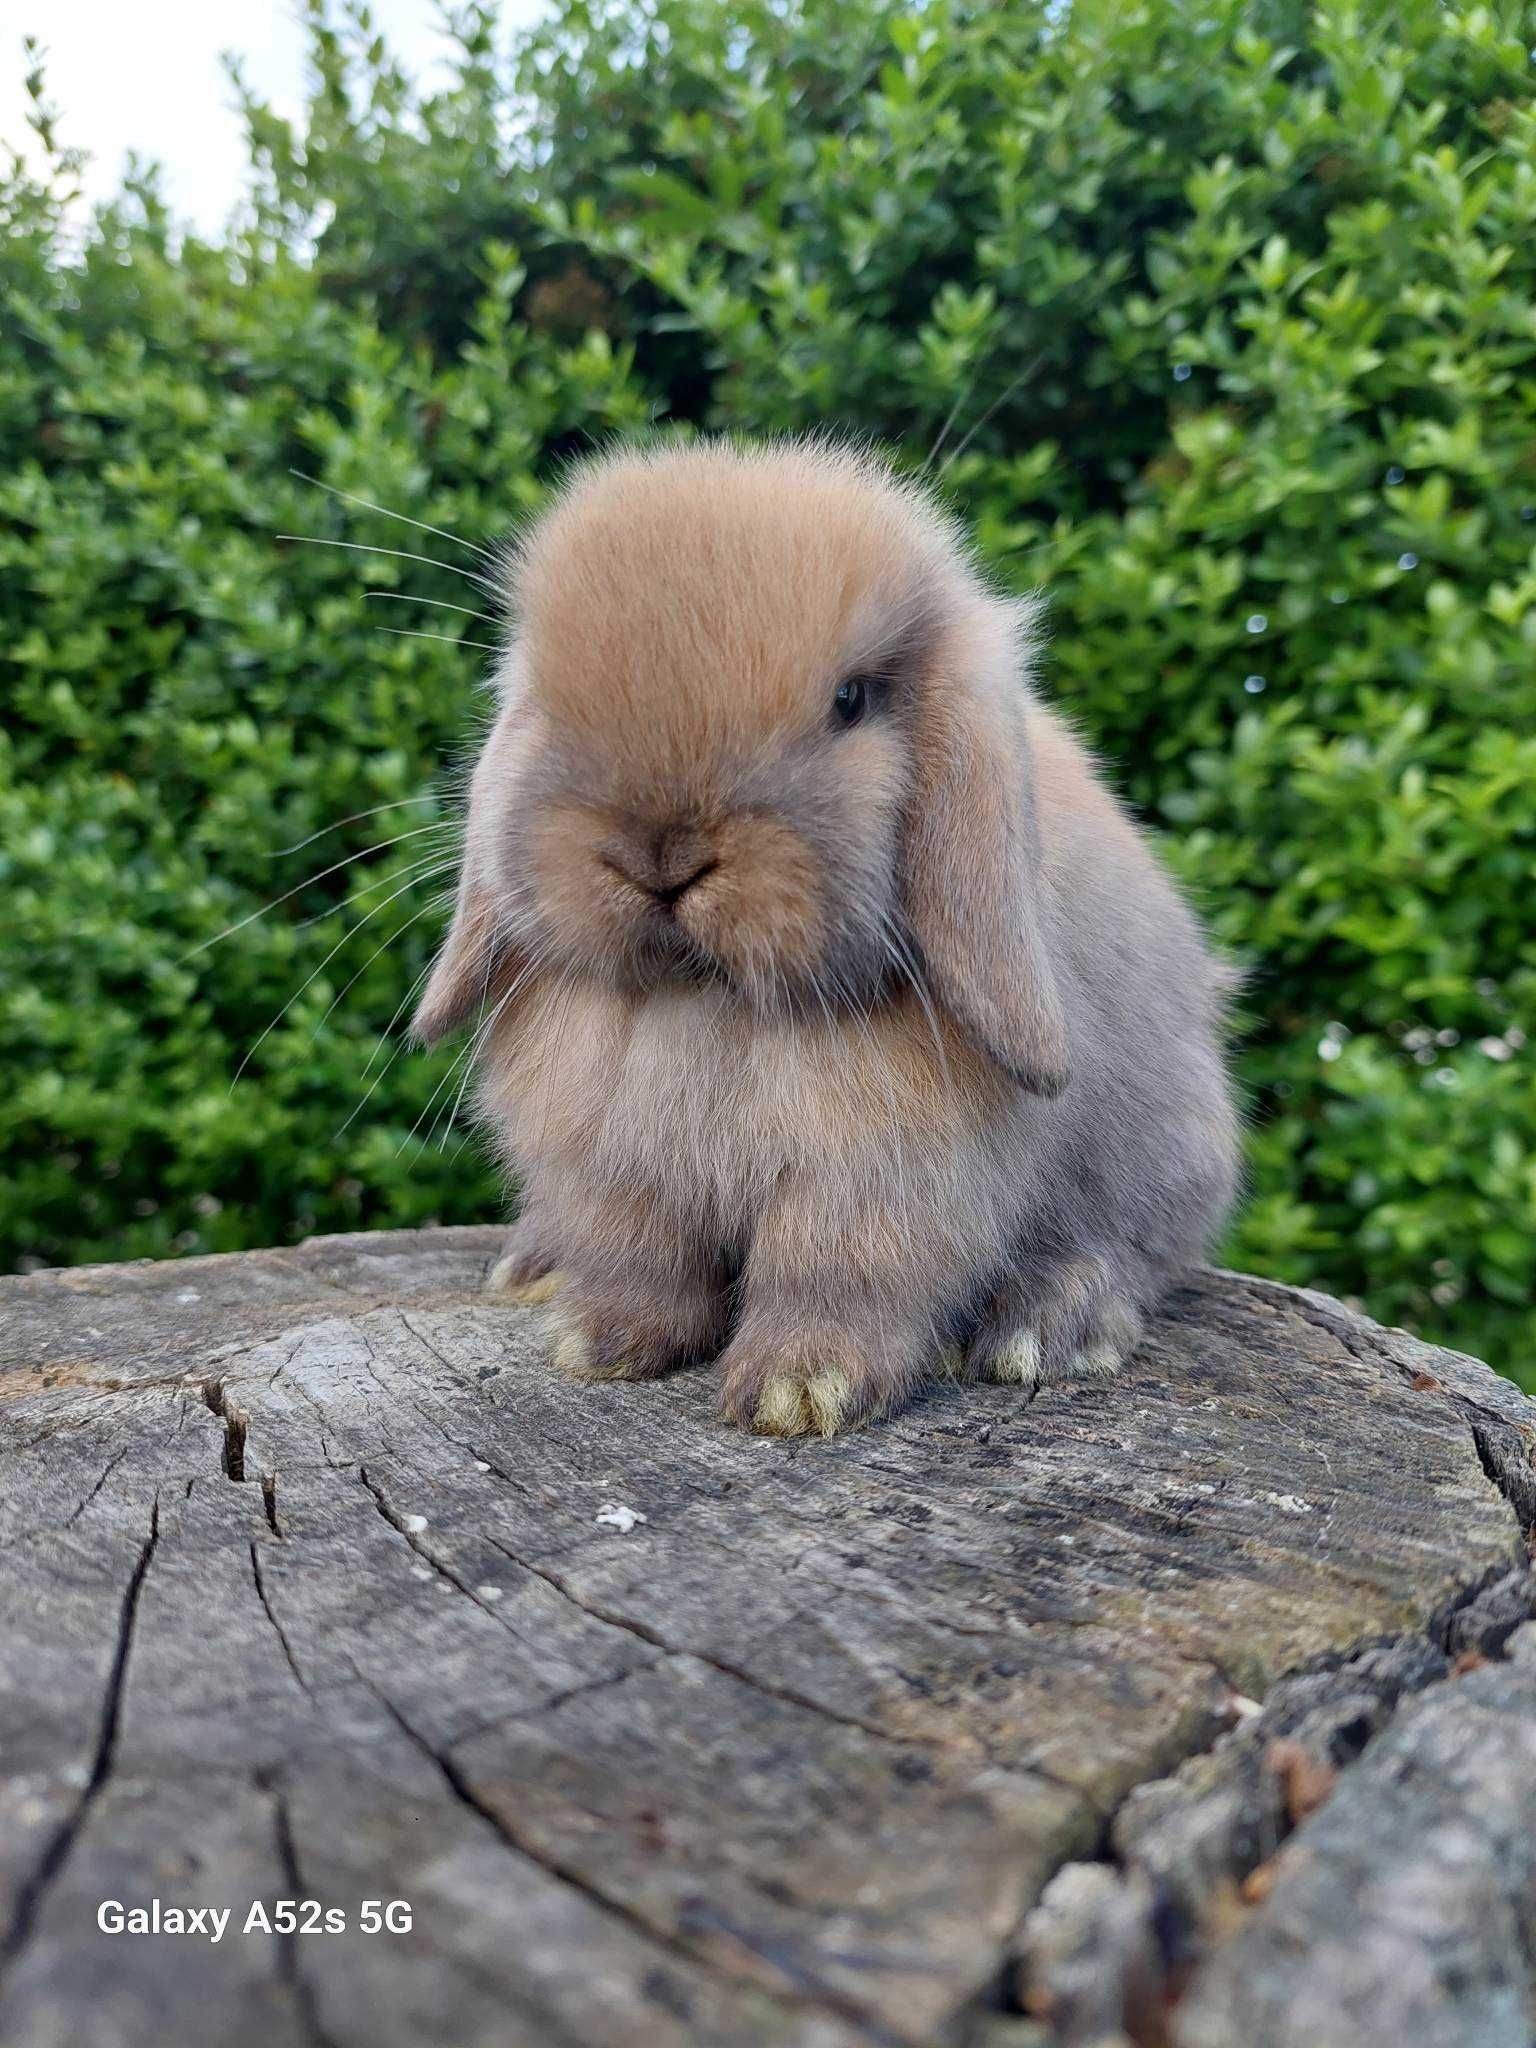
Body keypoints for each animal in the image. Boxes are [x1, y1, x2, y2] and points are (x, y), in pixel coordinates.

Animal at [415, 438, 1245, 1441]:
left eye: (850, 701)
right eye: (542, 695)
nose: (661, 853)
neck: (711, 1003)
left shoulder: (879, 1187)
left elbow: (836, 1279)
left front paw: (800, 1393)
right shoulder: (615, 1171)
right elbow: (641, 1265)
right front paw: (600, 1346)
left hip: (1164, 1155)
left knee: (1133, 1253)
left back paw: (1046, 1330)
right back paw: (531, 1268)